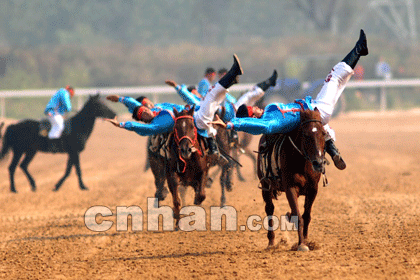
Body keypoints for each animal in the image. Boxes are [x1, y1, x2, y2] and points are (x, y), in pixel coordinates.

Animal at [258, 107, 326, 252]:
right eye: (306, 135)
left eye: (323, 133)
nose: (318, 163)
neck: (301, 163)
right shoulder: (290, 188)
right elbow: (297, 215)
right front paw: (301, 244)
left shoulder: (313, 189)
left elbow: (306, 216)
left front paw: (306, 241)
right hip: (265, 185)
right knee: (269, 209)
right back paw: (271, 242)